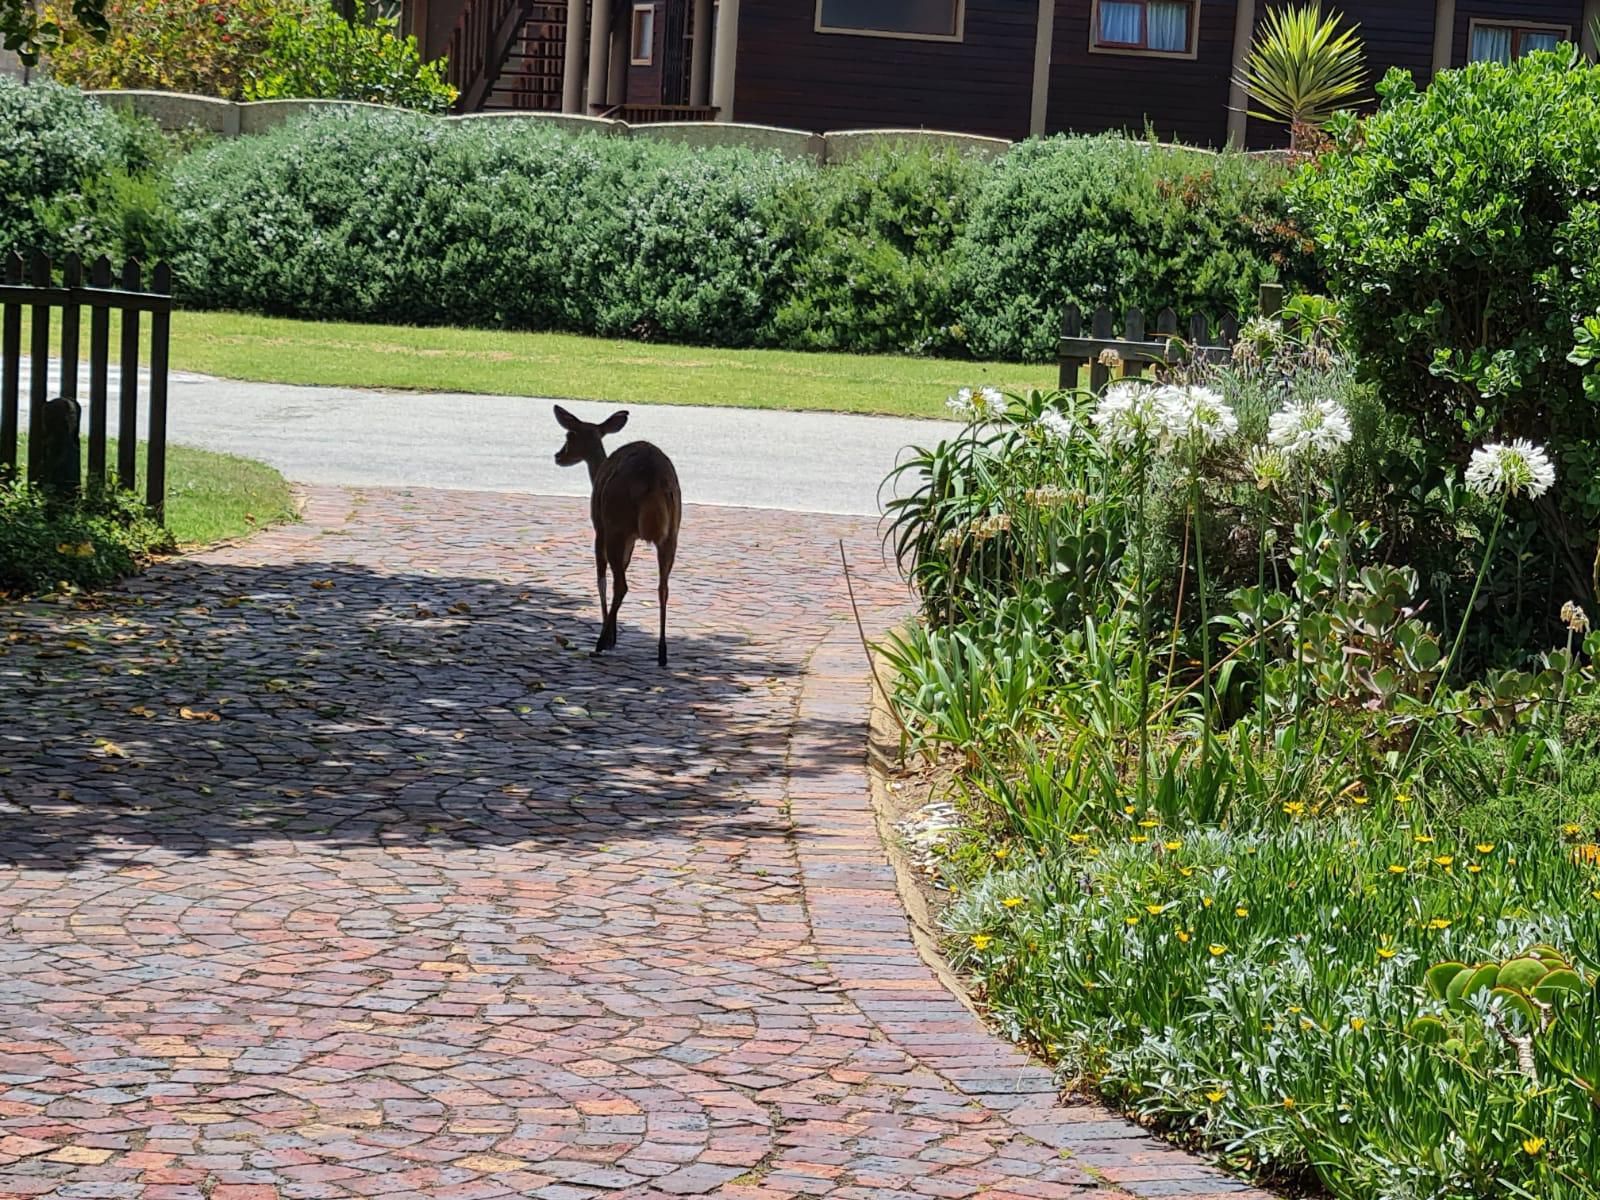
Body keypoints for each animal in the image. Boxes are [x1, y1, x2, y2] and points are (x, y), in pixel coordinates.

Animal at [553, 404, 678, 668]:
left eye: (570, 435)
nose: (558, 456)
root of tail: (652, 478)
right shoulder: (630, 538)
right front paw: (613, 634)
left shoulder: (600, 528)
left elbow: (601, 576)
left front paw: (610, 635)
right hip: (672, 530)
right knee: (663, 586)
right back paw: (662, 653)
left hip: (615, 522)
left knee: (621, 583)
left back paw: (600, 643)